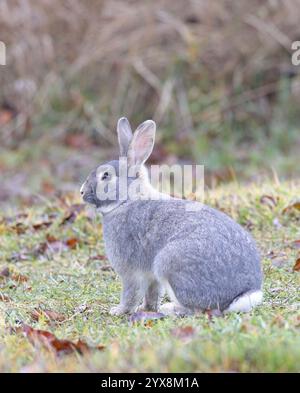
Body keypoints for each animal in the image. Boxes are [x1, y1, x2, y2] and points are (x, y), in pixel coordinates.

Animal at [80, 116, 262, 316]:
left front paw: (118, 311)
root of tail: (240, 295)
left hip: (168, 264)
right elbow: (152, 293)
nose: (82, 192)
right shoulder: (151, 276)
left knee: (196, 309)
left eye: (106, 176)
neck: (126, 200)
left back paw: (170, 309)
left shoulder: (130, 270)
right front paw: (146, 309)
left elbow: (131, 293)